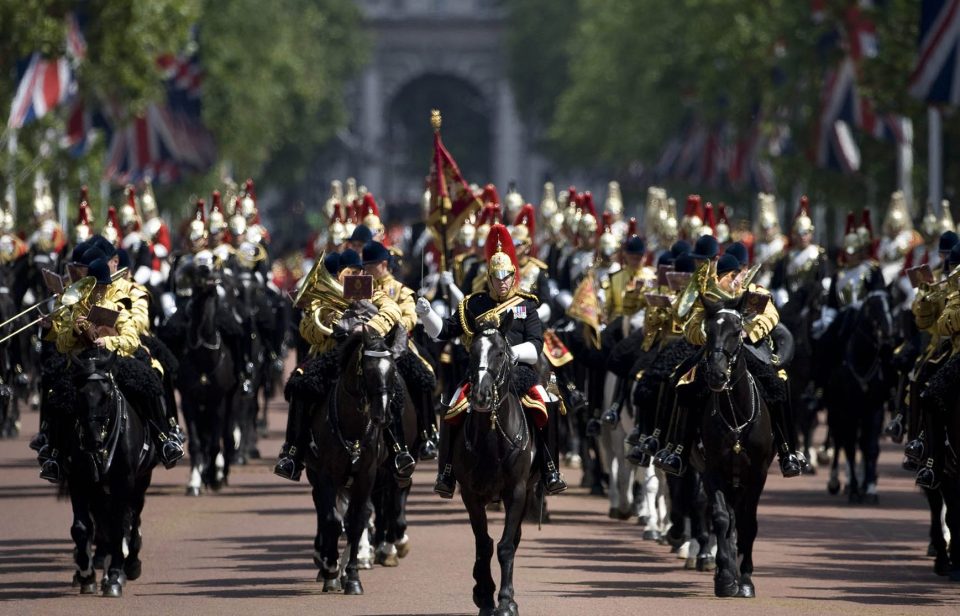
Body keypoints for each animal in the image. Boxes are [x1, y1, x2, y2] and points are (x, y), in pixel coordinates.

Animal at [63, 352, 156, 596]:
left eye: (106, 395)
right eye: (79, 394)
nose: (92, 440)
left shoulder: (124, 482)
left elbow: (118, 528)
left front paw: (114, 576)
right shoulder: (78, 481)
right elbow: (82, 527)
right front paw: (87, 575)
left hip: (139, 483)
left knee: (132, 519)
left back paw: (130, 564)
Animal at [306, 324, 400, 596]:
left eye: (393, 369)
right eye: (367, 369)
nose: (382, 416)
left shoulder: (366, 476)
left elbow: (356, 522)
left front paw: (353, 576)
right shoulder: (326, 475)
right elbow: (331, 520)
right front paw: (330, 569)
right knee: (324, 511)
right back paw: (326, 563)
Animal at [448, 320, 536, 612]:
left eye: (500, 352)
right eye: (472, 352)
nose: (481, 397)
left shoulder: (517, 491)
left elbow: (506, 545)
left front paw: (506, 601)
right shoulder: (470, 494)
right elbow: (483, 543)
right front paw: (484, 594)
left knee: (515, 538)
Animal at [700, 306, 776, 596]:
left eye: (736, 331)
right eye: (708, 331)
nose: (716, 375)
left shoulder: (758, 474)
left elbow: (748, 523)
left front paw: (744, 579)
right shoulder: (711, 468)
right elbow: (721, 518)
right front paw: (724, 578)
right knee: (727, 518)